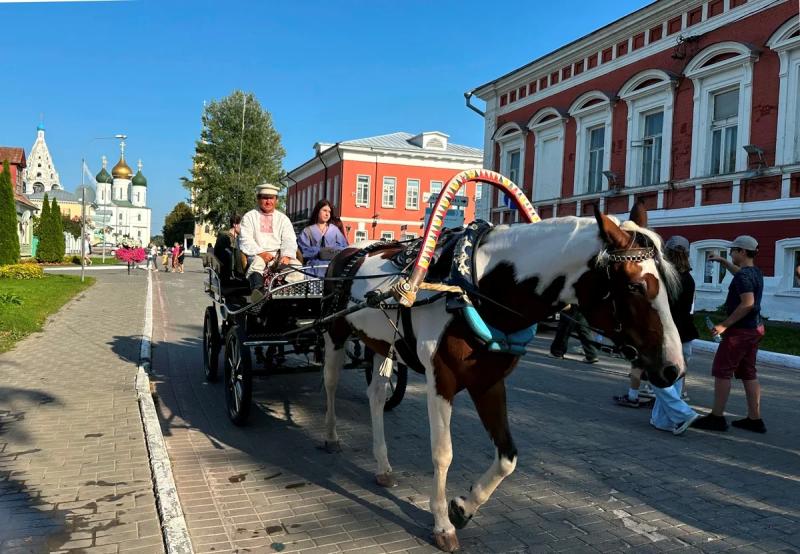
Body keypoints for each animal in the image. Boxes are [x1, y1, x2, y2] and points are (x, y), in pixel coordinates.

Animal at [322, 205, 684, 548]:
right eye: (635, 286)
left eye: (669, 285)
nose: (673, 369)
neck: (473, 287)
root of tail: (347, 252)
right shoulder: (442, 380)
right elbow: (443, 453)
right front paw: (442, 524)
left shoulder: (490, 383)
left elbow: (508, 457)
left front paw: (463, 508)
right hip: (335, 334)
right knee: (331, 384)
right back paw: (331, 437)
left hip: (382, 345)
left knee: (376, 396)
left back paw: (383, 466)